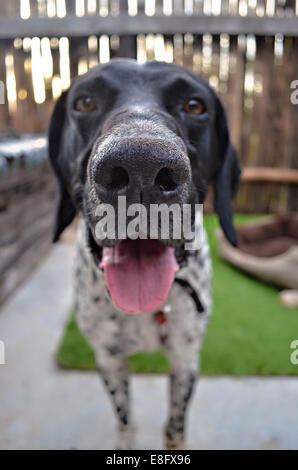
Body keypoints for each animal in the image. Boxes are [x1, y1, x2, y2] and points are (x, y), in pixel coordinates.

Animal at [47, 57, 241, 448]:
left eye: (194, 105)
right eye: (85, 102)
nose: (141, 165)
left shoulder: (186, 360)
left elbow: (175, 425)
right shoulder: (108, 360)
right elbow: (126, 420)